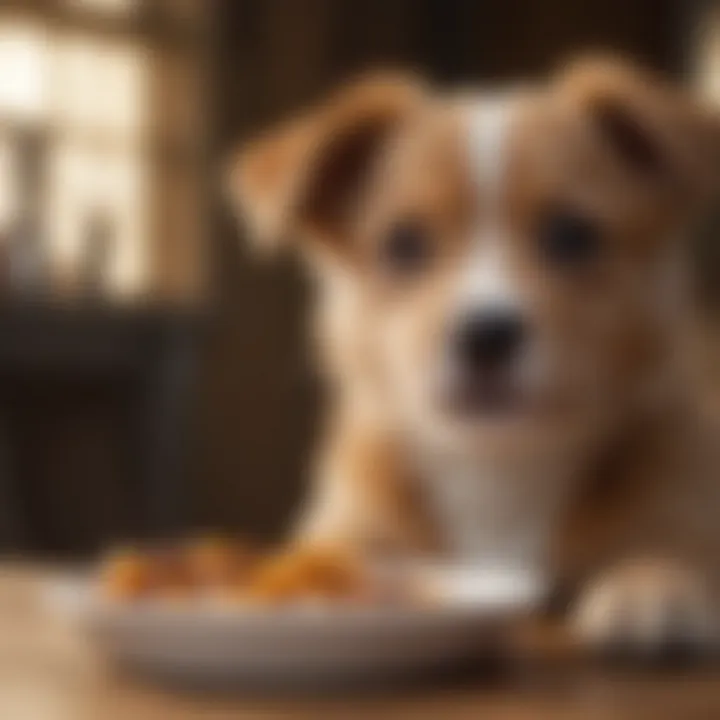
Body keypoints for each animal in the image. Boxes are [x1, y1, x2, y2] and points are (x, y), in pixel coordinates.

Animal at [228, 57, 720, 652]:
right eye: (404, 243)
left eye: (572, 235)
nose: (486, 334)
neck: (496, 464)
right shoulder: (349, 526)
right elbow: (332, 555)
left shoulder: (685, 499)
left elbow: (682, 547)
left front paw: (657, 585)